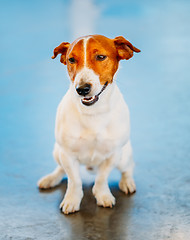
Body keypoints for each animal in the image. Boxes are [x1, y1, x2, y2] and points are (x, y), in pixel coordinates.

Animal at [37, 34, 140, 214]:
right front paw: (72, 199)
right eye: (71, 59)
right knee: (60, 169)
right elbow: (74, 180)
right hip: (57, 152)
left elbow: (101, 178)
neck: (93, 113)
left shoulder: (113, 154)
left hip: (123, 156)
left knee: (128, 168)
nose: (82, 89)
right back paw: (51, 179)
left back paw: (127, 182)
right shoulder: (67, 154)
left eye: (101, 57)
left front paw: (103, 195)